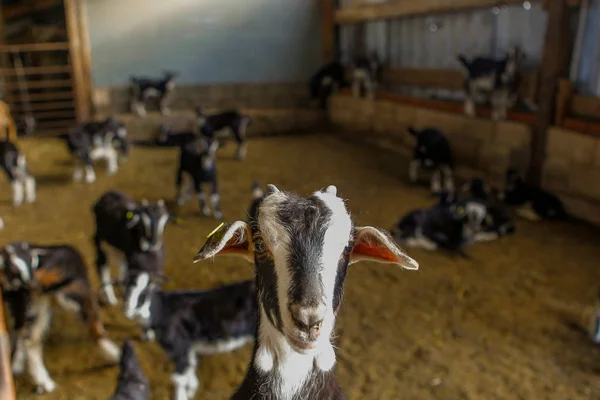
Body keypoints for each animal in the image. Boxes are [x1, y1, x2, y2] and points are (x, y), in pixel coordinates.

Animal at [0, 241, 120, 394]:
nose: (29, 281)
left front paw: (17, 364)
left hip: (38, 307)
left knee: (31, 341)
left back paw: (43, 381)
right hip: (77, 294)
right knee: (96, 330)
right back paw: (116, 355)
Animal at [125, 276, 256, 400]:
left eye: (144, 294)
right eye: (126, 291)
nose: (128, 311)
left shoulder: (179, 347)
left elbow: (178, 378)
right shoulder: (189, 348)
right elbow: (191, 367)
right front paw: (192, 390)